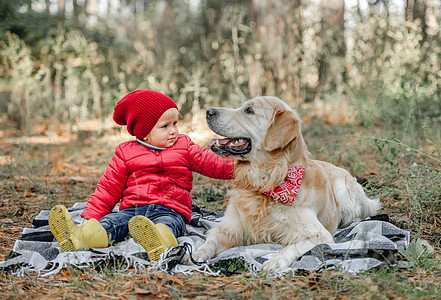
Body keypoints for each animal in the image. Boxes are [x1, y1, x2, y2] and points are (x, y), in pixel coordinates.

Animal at [193, 96, 382, 272]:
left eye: (249, 110)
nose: (209, 111)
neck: (267, 183)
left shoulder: (319, 235)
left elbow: (292, 247)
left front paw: (275, 261)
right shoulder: (230, 227)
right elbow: (211, 240)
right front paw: (197, 253)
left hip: (345, 193)